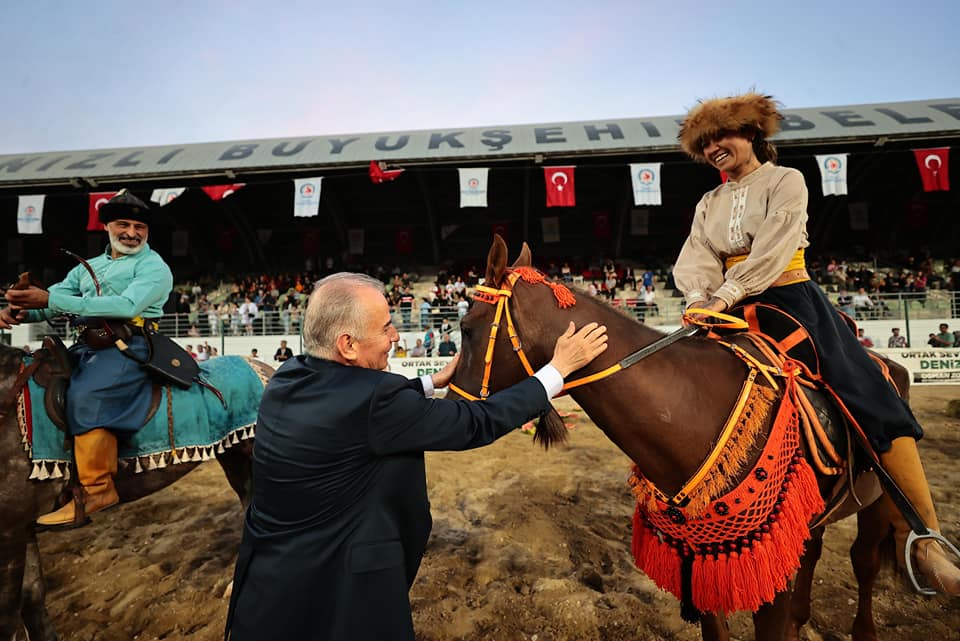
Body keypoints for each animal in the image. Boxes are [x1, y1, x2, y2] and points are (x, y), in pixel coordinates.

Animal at [450, 236, 908, 640]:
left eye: (467, 328)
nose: (454, 398)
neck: (694, 406)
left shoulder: (766, 561)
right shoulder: (706, 558)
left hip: (879, 501)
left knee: (864, 560)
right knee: (814, 551)